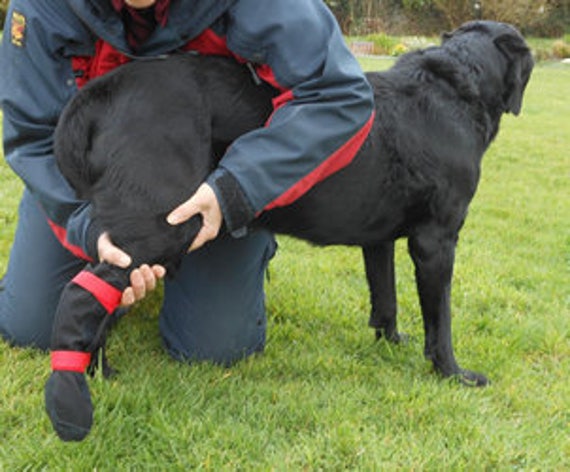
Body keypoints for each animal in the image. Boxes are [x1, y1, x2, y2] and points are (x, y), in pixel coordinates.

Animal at [44, 21, 532, 442]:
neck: (456, 87)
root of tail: (106, 91)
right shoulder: (436, 239)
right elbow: (440, 320)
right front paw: (453, 373)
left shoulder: (379, 240)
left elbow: (386, 297)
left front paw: (391, 342)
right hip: (167, 225)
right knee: (80, 295)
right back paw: (72, 399)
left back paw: (99, 374)